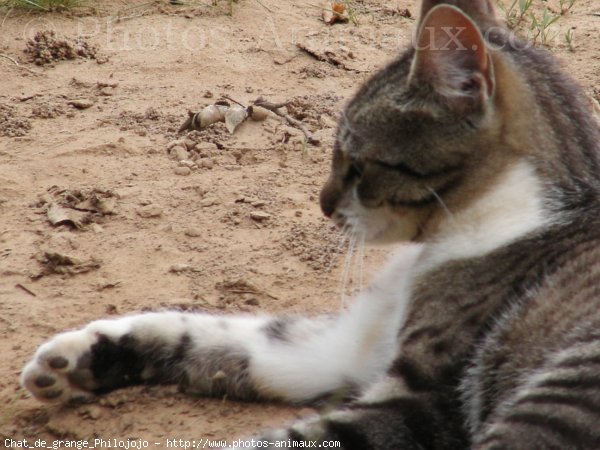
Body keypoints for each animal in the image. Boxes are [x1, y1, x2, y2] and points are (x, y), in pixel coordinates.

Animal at [18, 0, 600, 448]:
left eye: (357, 163)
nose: (322, 205)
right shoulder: (341, 348)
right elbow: (216, 334)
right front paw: (83, 354)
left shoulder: (423, 402)